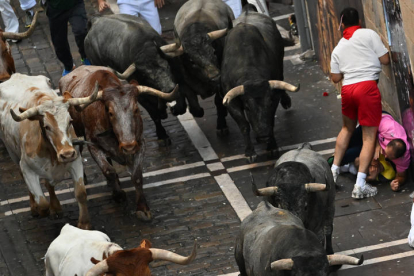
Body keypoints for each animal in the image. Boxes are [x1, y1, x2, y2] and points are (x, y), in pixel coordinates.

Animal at [59, 66, 178, 221]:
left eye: (136, 109)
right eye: (110, 112)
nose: (128, 146)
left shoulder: (140, 144)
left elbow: (137, 176)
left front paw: (142, 208)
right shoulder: (93, 145)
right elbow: (109, 171)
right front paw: (118, 194)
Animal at [222, 10, 300, 162]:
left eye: (268, 103)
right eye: (247, 107)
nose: (264, 136)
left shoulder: (273, 97)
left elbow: (271, 120)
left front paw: (272, 147)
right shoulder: (231, 103)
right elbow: (244, 125)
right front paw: (250, 151)